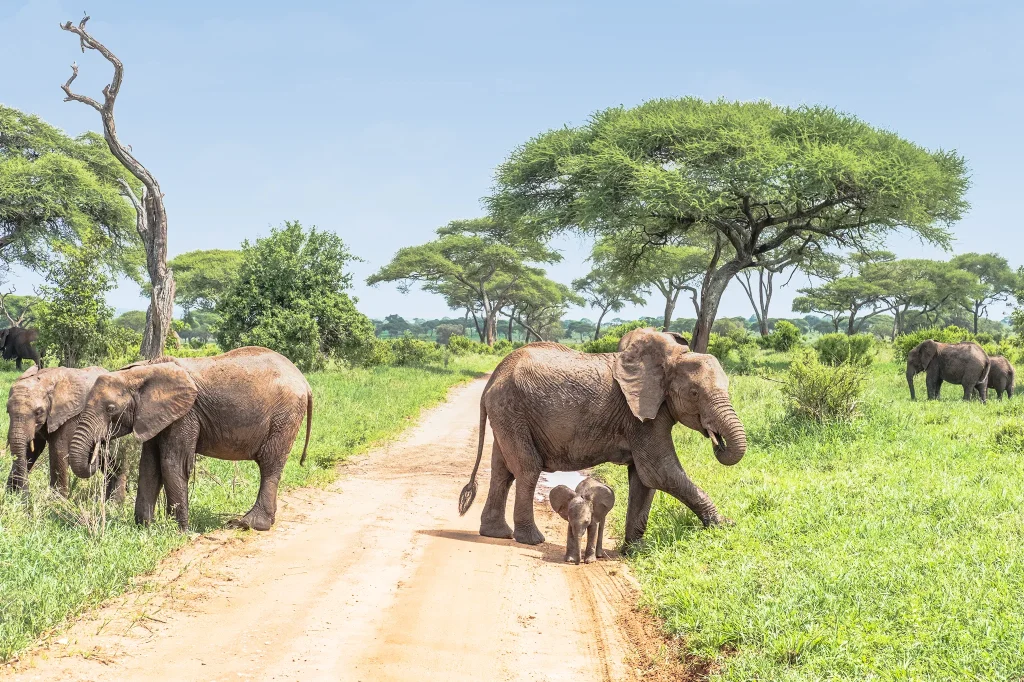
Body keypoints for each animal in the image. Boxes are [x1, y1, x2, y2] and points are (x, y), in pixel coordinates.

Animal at [4, 366, 126, 499]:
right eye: (7, 410)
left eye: (39, 412)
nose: (25, 496)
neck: (46, 379)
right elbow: (31, 451)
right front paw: (11, 496)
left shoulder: (69, 416)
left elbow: (58, 451)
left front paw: (56, 502)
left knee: (115, 460)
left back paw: (115, 502)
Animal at [68, 347, 313, 532]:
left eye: (110, 409)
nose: (99, 450)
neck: (142, 371)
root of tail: (304, 381)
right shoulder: (156, 415)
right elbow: (149, 466)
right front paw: (144, 527)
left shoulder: (185, 415)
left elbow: (172, 464)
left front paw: (178, 531)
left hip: (285, 415)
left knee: (269, 463)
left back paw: (248, 524)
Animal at [458, 328, 747, 548]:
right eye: (695, 393)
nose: (717, 441)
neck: (669, 360)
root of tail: (495, 375)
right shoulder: (640, 416)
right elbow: (659, 471)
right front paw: (725, 525)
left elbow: (644, 478)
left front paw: (635, 549)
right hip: (511, 409)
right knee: (527, 468)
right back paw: (532, 540)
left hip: (507, 413)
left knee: (502, 470)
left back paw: (496, 533)